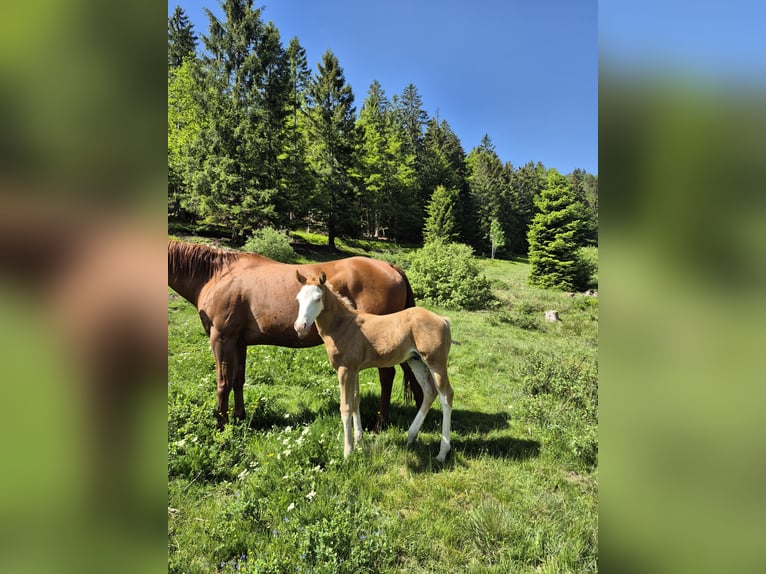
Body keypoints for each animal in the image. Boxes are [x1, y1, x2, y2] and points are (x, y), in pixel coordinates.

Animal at [168, 239, 422, 429]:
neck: (217, 276)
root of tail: (391, 267)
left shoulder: (221, 339)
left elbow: (223, 382)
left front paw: (221, 425)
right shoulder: (239, 343)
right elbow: (238, 379)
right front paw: (240, 417)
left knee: (387, 376)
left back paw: (381, 423)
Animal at [294, 270, 454, 462]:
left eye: (318, 298)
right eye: (298, 299)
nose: (300, 327)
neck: (342, 326)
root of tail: (443, 320)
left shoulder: (344, 370)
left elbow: (345, 407)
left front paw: (348, 452)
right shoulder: (354, 370)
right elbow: (355, 401)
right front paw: (359, 442)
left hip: (436, 363)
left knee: (446, 396)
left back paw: (442, 453)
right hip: (416, 360)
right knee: (429, 391)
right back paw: (411, 436)